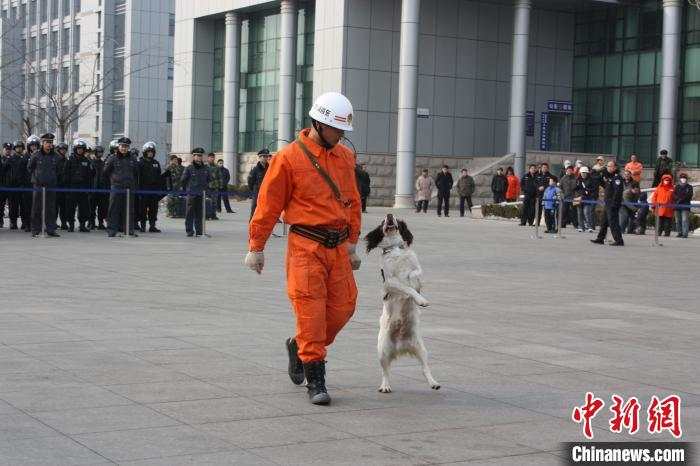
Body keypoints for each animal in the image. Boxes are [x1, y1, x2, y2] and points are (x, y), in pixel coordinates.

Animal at [364, 214, 440, 394]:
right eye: (383, 222)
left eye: (397, 220)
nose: (389, 215)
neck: (394, 248)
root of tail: (401, 346)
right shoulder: (390, 281)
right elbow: (406, 287)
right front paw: (421, 300)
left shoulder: (416, 269)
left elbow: (414, 274)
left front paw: (416, 288)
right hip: (382, 350)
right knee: (385, 371)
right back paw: (385, 386)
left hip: (421, 349)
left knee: (424, 368)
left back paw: (433, 382)